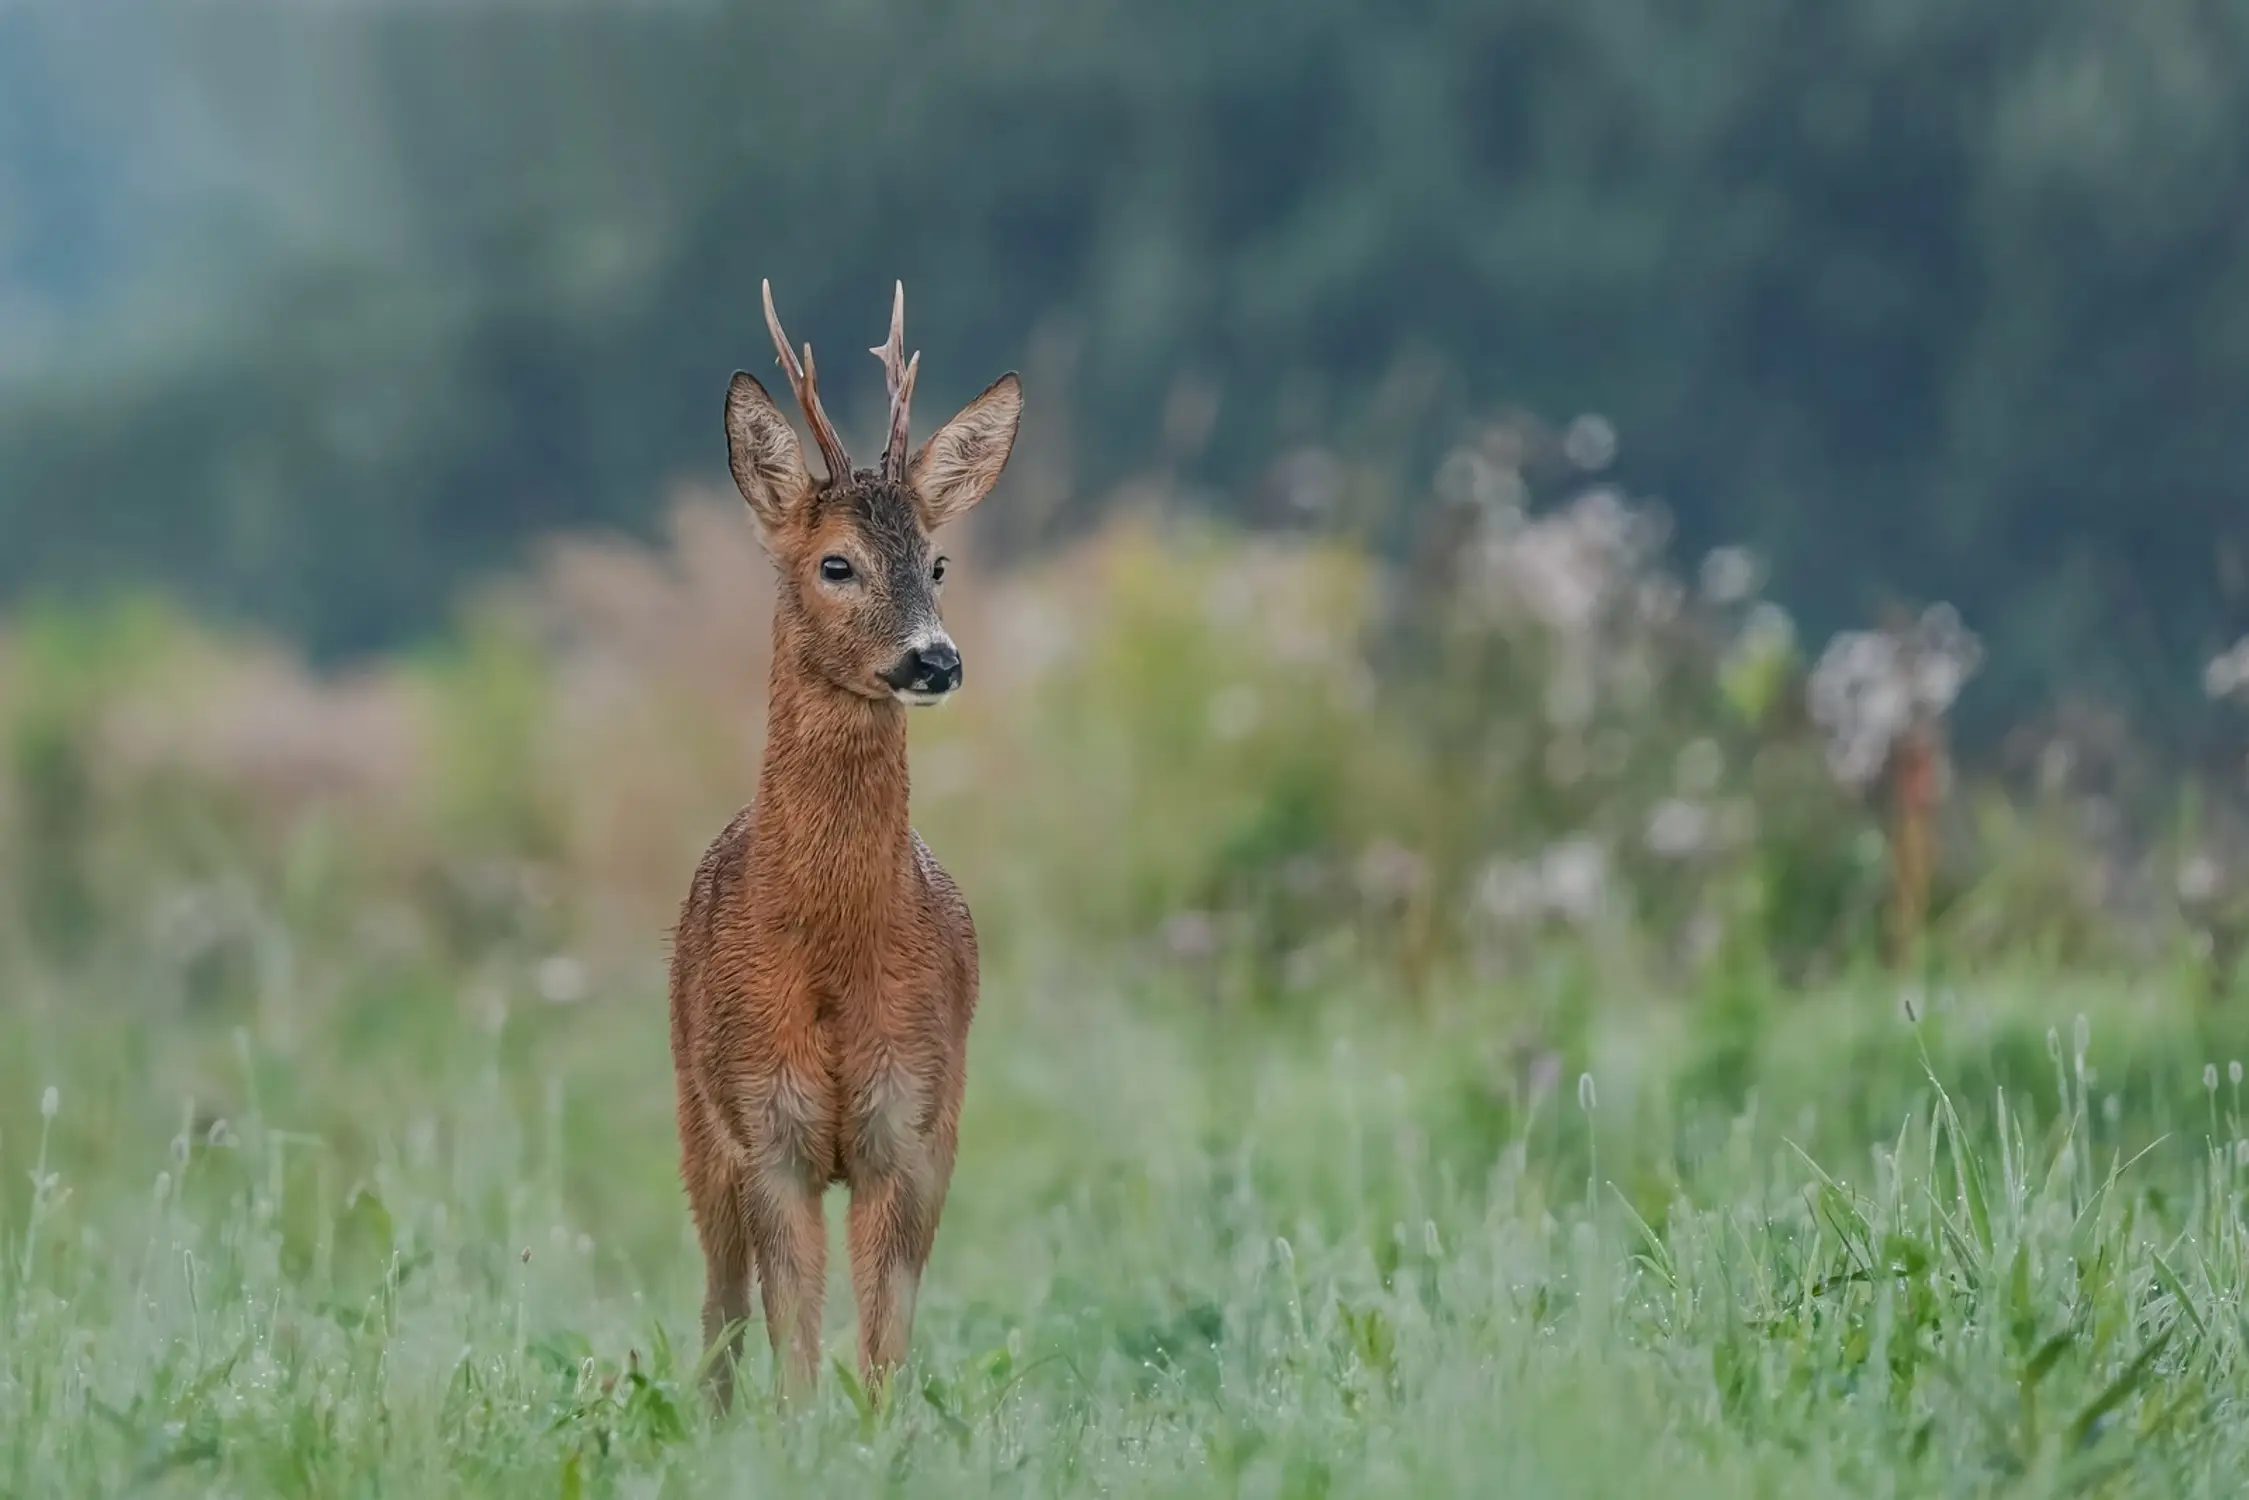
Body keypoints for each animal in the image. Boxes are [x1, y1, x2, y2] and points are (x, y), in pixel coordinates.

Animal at [665, 278, 1021, 1412]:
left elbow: (883, 1352)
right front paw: (788, 1438)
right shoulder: (761, 1130)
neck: (829, 958)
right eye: (836, 564)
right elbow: (791, 1350)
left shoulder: (915, 1126)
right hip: (694, 1115)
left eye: (939, 561)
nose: (934, 659)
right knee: (719, 1310)